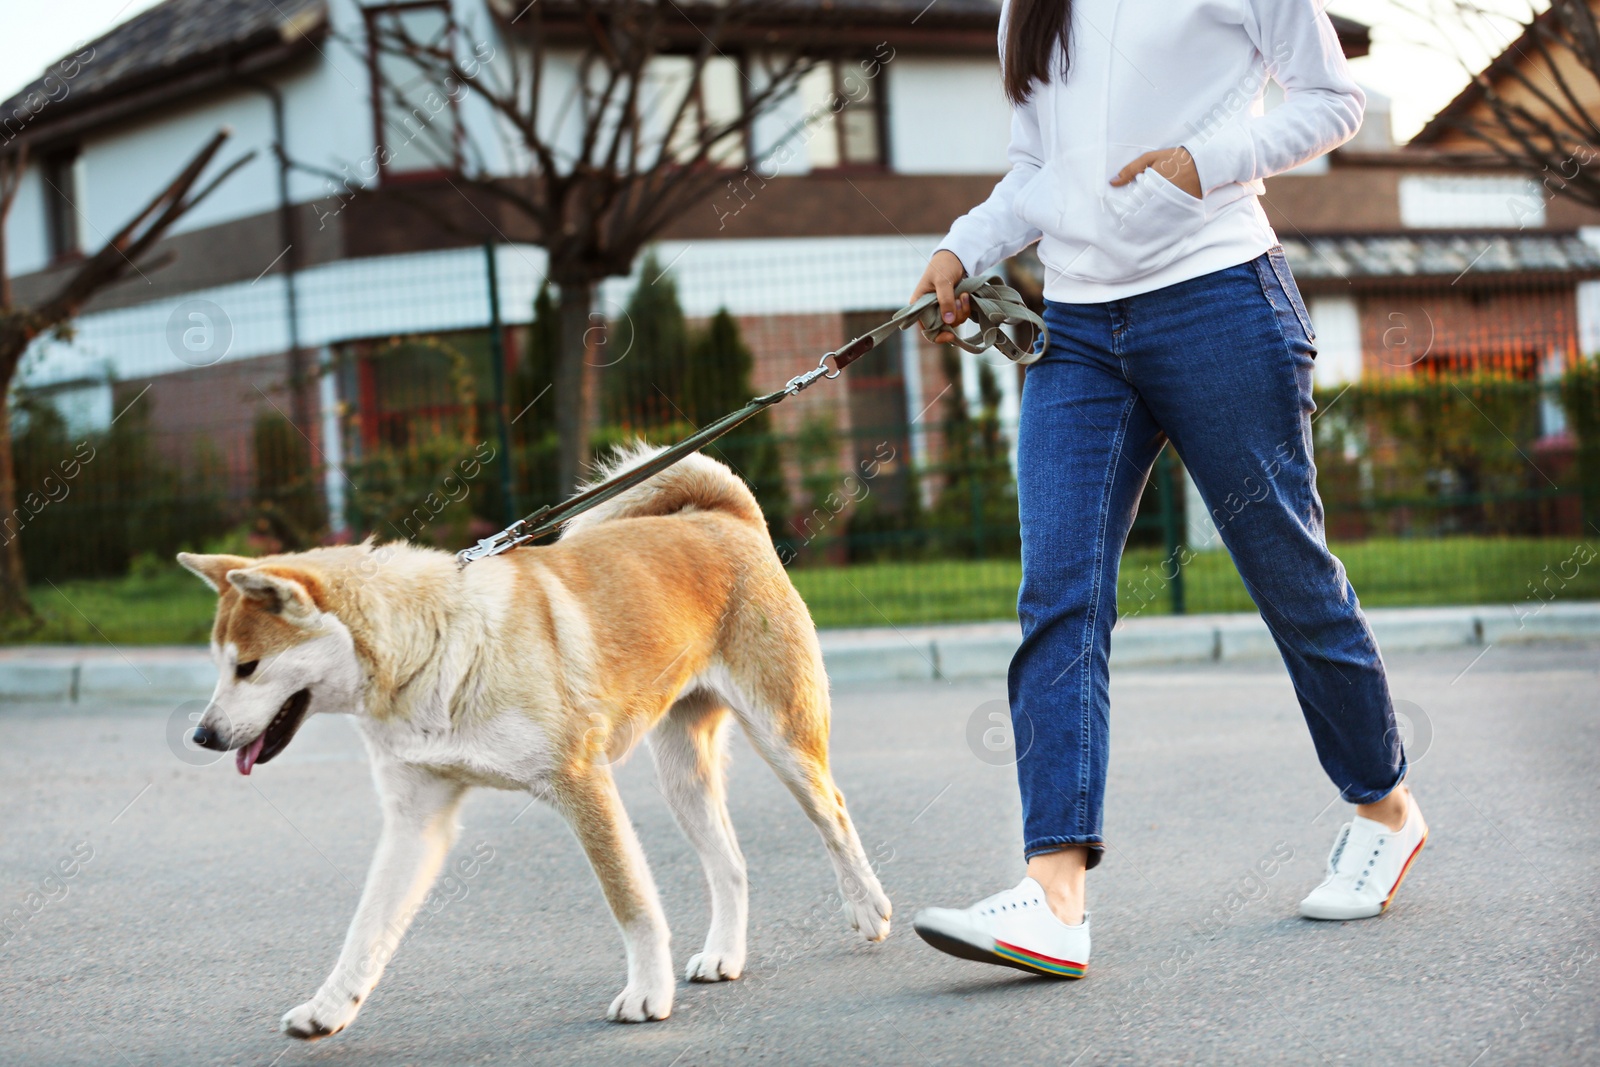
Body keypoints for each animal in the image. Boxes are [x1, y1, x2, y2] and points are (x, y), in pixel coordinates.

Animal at [181, 447, 896, 1036]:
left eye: (247, 667)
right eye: (219, 664)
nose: (202, 735)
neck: (434, 647)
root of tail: (724, 518)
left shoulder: (582, 784)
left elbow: (632, 903)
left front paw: (648, 993)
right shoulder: (416, 821)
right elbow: (368, 929)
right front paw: (330, 1007)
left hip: (783, 741)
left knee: (834, 815)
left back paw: (868, 907)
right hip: (682, 776)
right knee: (732, 866)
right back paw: (725, 953)